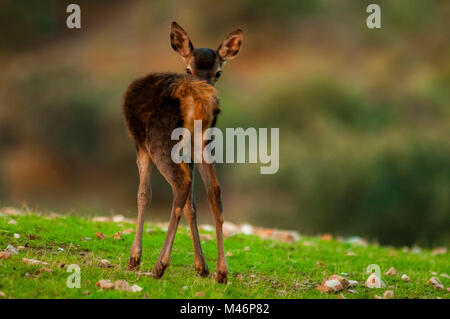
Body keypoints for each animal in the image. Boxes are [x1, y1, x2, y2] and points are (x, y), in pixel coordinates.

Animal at [122, 21, 243, 284]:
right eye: (188, 67)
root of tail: (198, 98)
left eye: (218, 73)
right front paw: (201, 267)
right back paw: (221, 272)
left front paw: (134, 257)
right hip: (202, 142)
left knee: (180, 183)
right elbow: (192, 205)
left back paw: (159, 265)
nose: (207, 84)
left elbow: (143, 194)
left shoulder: (140, 145)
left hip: (160, 140)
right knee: (213, 190)